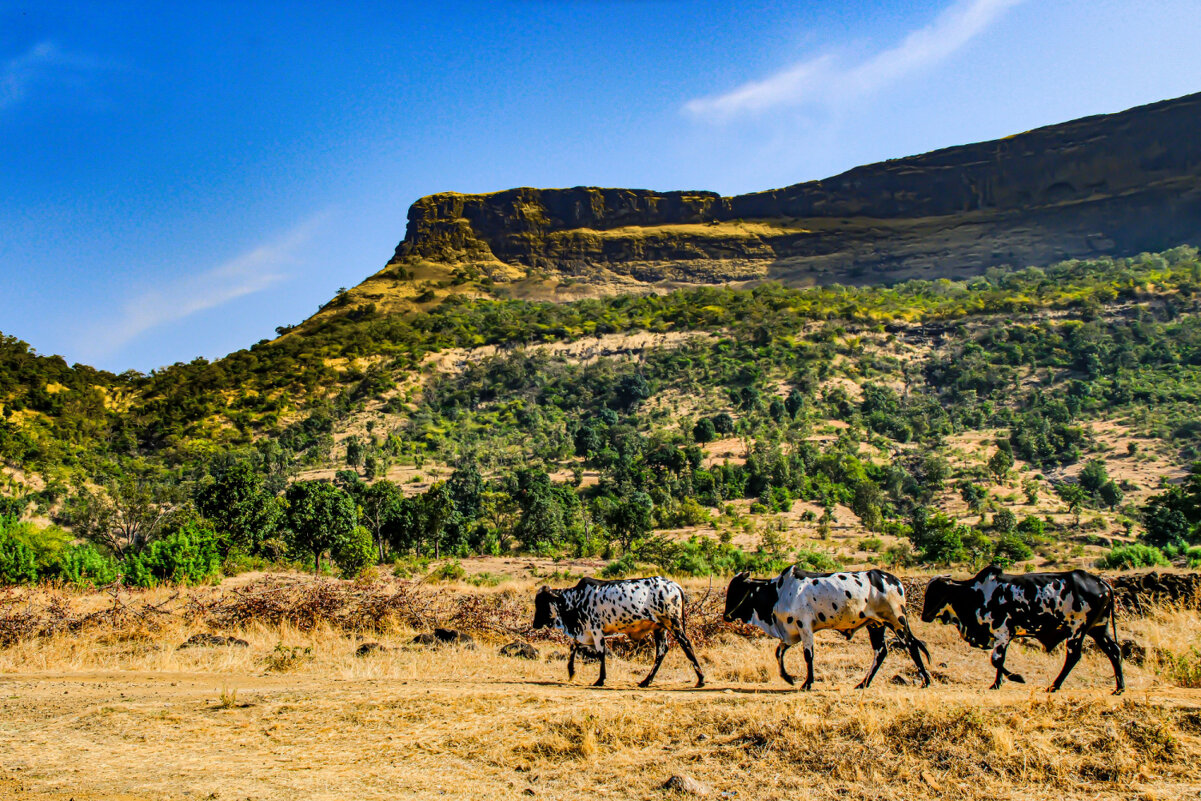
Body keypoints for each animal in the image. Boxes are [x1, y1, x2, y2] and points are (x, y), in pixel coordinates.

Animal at [533, 576, 701, 691]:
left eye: (542, 602)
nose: (534, 624)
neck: (577, 598)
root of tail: (674, 585)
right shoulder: (584, 632)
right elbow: (572, 647)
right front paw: (571, 672)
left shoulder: (596, 630)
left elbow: (601, 653)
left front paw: (600, 680)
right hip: (659, 628)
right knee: (661, 651)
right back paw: (646, 681)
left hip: (673, 623)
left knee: (686, 645)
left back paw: (700, 679)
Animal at [720, 566, 927, 691]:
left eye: (736, 589)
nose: (726, 616)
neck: (777, 592)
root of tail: (895, 580)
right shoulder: (790, 634)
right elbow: (778, 652)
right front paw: (788, 678)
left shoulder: (804, 627)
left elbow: (808, 655)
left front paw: (807, 683)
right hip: (875, 625)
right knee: (881, 652)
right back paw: (863, 683)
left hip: (897, 620)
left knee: (911, 646)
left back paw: (925, 680)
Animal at [917, 564, 1124, 696]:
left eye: (936, 592)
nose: (924, 616)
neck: (974, 594)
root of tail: (1102, 584)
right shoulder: (1003, 636)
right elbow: (1000, 661)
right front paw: (997, 683)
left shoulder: (1002, 633)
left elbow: (996, 660)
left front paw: (1016, 678)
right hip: (1098, 629)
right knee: (1114, 652)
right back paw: (1119, 688)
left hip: (1077, 629)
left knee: (1073, 656)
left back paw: (1054, 686)